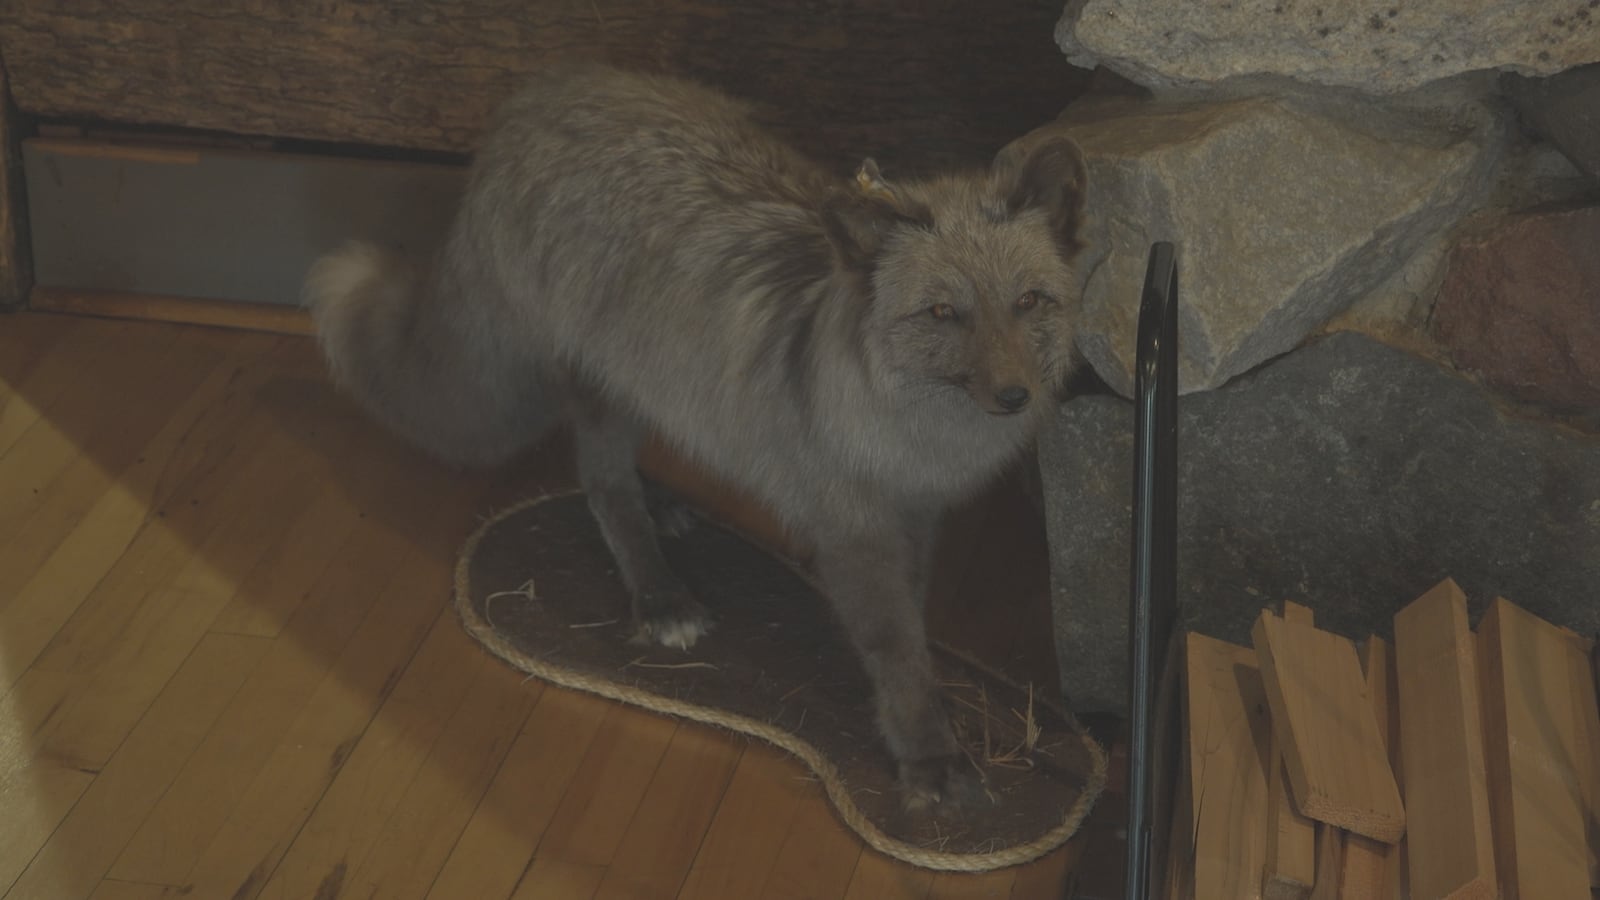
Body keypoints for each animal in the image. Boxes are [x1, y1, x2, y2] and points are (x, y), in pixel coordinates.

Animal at [306, 61, 1089, 811]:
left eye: (1029, 301)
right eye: (942, 312)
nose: (1016, 397)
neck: (916, 436)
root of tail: (537, 96)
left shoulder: (916, 515)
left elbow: (914, 626)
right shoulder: (853, 529)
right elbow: (895, 646)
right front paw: (929, 757)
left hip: (649, 383)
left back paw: (662, 508)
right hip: (604, 392)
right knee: (601, 484)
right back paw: (657, 593)